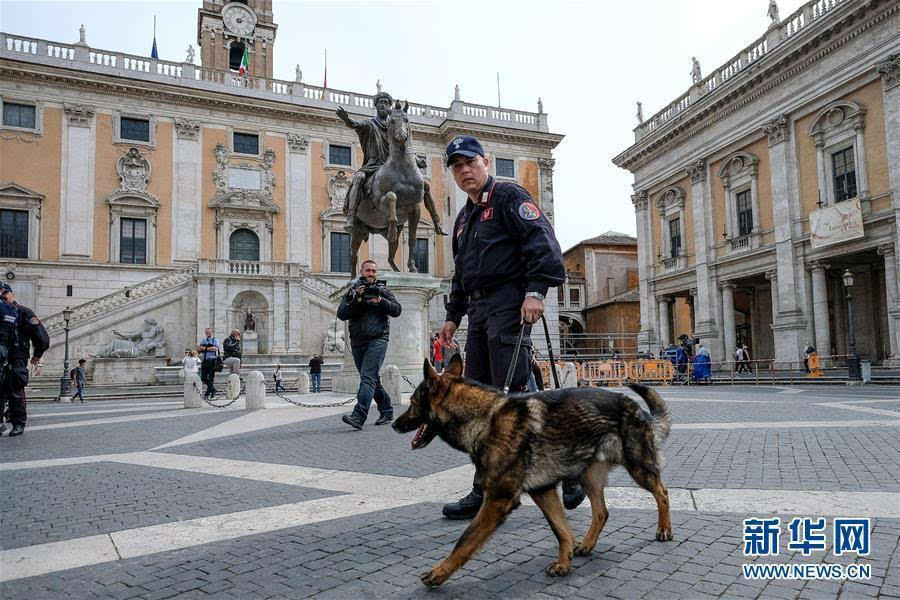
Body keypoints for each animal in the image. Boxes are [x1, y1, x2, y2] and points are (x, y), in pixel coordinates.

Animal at [390, 356, 672, 584]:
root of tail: (636, 407)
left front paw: (440, 572)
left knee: (662, 492)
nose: (393, 424)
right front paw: (564, 563)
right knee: (602, 512)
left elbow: (465, 541)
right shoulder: (542, 491)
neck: (485, 419)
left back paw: (664, 529)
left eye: (412, 402)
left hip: (638, 467)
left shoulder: (497, 501)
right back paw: (587, 544)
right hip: (589, 477)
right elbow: (561, 530)